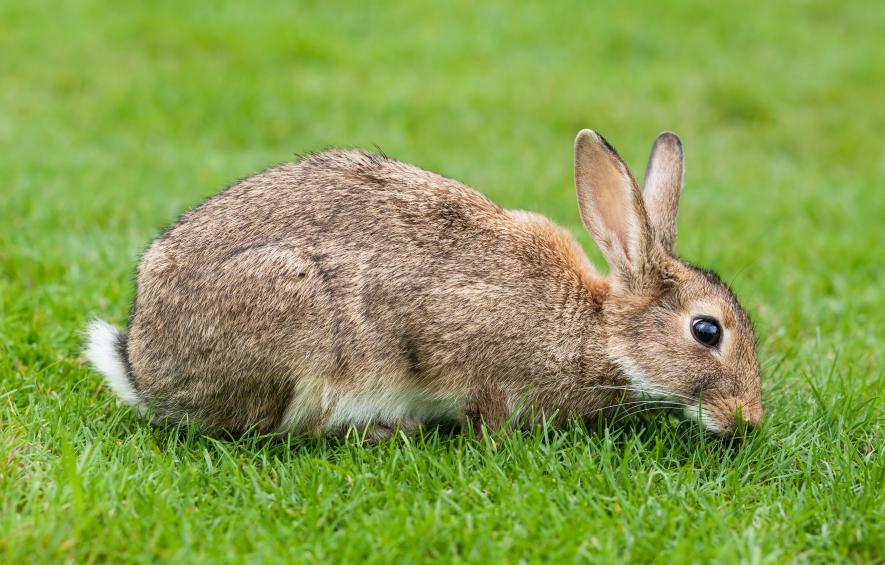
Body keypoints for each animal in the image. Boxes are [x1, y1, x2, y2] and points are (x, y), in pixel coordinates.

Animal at [86, 130, 762, 440]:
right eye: (707, 331)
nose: (749, 419)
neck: (599, 330)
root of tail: (143, 366)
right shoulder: (461, 342)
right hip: (292, 319)